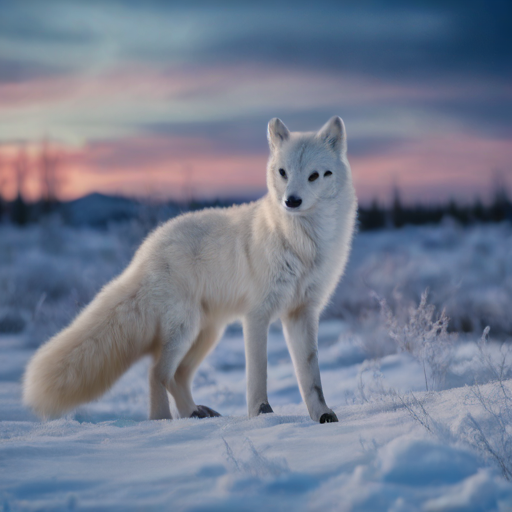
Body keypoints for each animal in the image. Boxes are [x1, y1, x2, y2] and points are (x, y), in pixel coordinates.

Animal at [23, 116, 356, 424]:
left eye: (315, 175)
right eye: (283, 172)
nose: (291, 201)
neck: (303, 245)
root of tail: (144, 252)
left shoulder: (302, 312)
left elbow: (311, 377)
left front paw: (322, 415)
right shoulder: (257, 314)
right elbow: (257, 374)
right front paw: (262, 415)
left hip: (207, 333)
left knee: (176, 376)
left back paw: (193, 413)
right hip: (185, 329)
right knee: (156, 372)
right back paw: (163, 421)